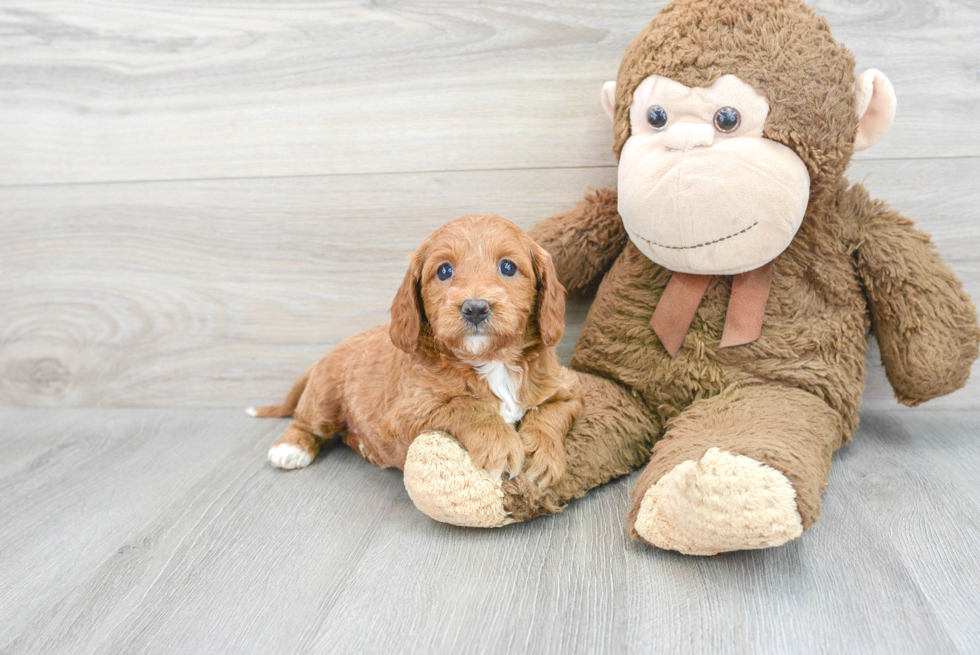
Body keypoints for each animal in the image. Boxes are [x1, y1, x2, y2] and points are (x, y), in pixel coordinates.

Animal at [251, 213, 580, 490]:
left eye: (508, 267)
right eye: (444, 270)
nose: (475, 308)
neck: (490, 361)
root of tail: (327, 354)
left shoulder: (568, 390)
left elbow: (551, 411)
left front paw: (543, 455)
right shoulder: (406, 412)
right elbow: (466, 405)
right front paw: (499, 443)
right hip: (324, 399)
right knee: (304, 421)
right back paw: (290, 448)